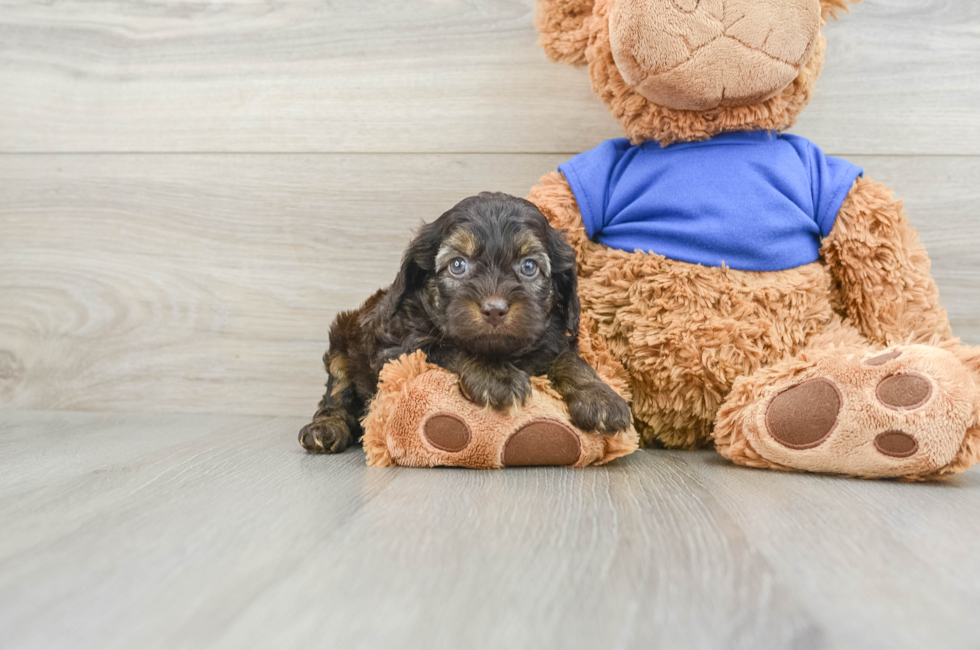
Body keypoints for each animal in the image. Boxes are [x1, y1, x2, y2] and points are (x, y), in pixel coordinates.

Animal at [298, 191, 632, 450]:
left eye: (528, 266)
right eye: (458, 265)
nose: (495, 309)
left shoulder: (552, 340)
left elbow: (570, 360)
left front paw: (600, 396)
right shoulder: (399, 350)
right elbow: (451, 348)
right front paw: (497, 377)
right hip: (342, 342)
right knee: (336, 396)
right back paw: (325, 429)